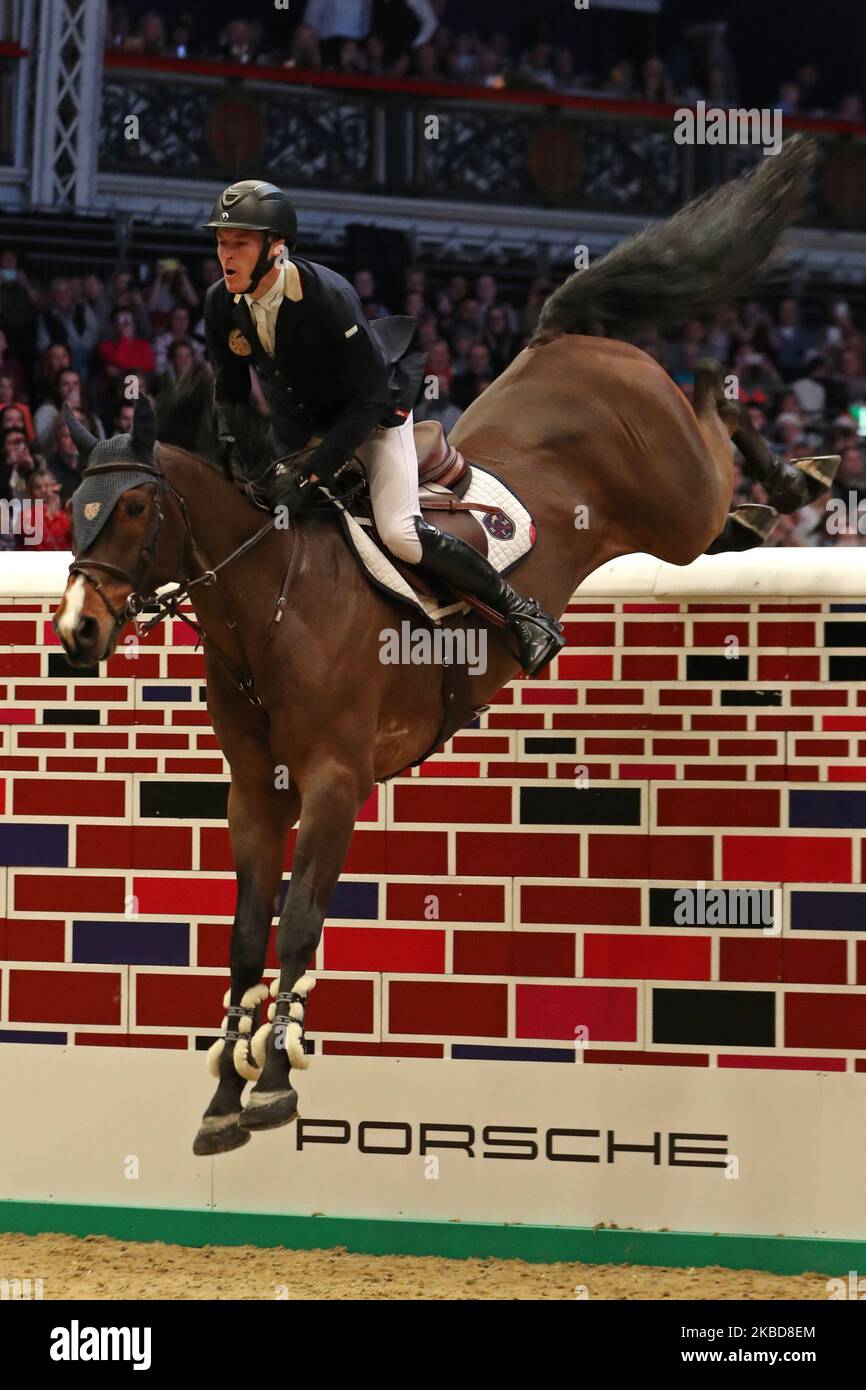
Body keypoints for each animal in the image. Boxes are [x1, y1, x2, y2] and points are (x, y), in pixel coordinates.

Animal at [51, 135, 835, 1154]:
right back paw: (765, 509)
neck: (270, 602)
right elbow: (245, 935)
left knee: (711, 388)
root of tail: (555, 338)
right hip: (678, 514)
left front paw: (276, 1080)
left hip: (678, 497)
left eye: (137, 508)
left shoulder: (335, 782)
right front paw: (226, 1093)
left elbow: (298, 924)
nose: (77, 630)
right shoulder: (255, 796)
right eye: (73, 505)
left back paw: (797, 475)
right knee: (714, 441)